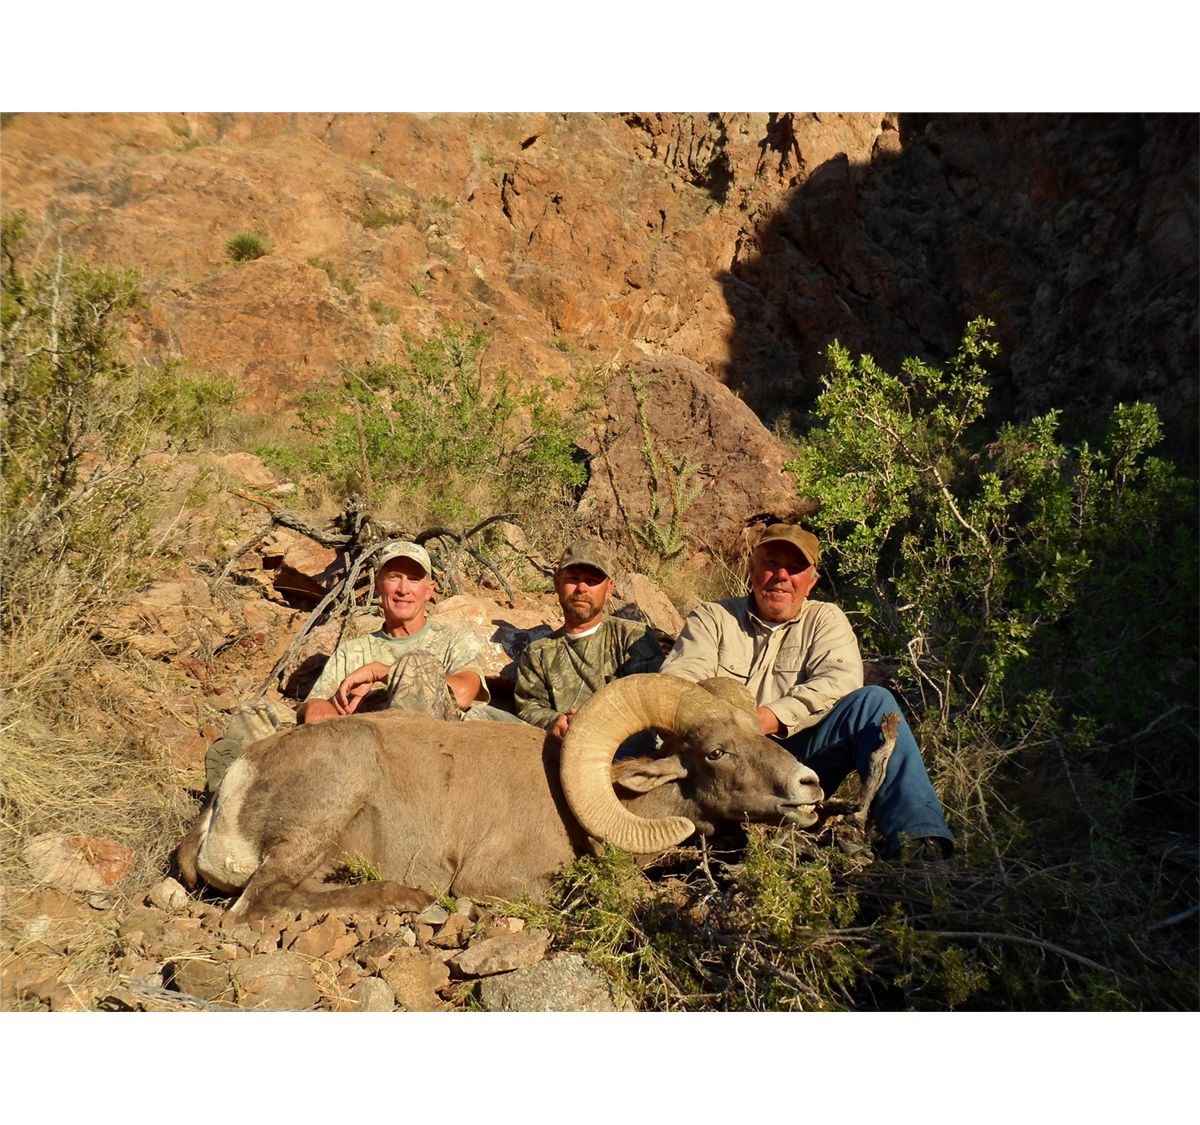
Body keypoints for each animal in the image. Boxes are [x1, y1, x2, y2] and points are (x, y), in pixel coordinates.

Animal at [175, 673, 826, 922]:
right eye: (715, 751)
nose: (809, 786)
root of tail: (235, 787)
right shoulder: (497, 881)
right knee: (259, 906)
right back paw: (411, 897)